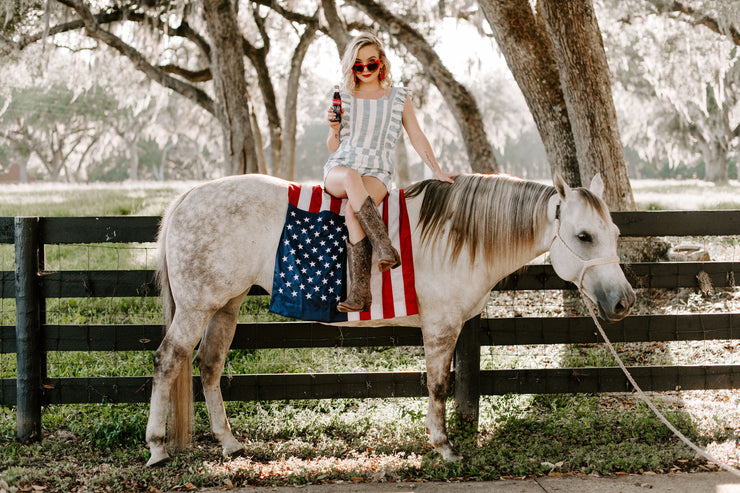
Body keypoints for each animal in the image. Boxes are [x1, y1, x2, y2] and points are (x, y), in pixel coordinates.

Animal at [146, 172, 636, 466]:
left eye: (615, 233)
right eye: (583, 236)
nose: (624, 301)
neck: (459, 236)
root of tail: (189, 195)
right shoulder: (441, 327)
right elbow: (437, 387)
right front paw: (444, 448)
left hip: (225, 305)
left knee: (209, 366)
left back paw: (229, 443)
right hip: (196, 308)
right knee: (169, 361)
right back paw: (156, 447)